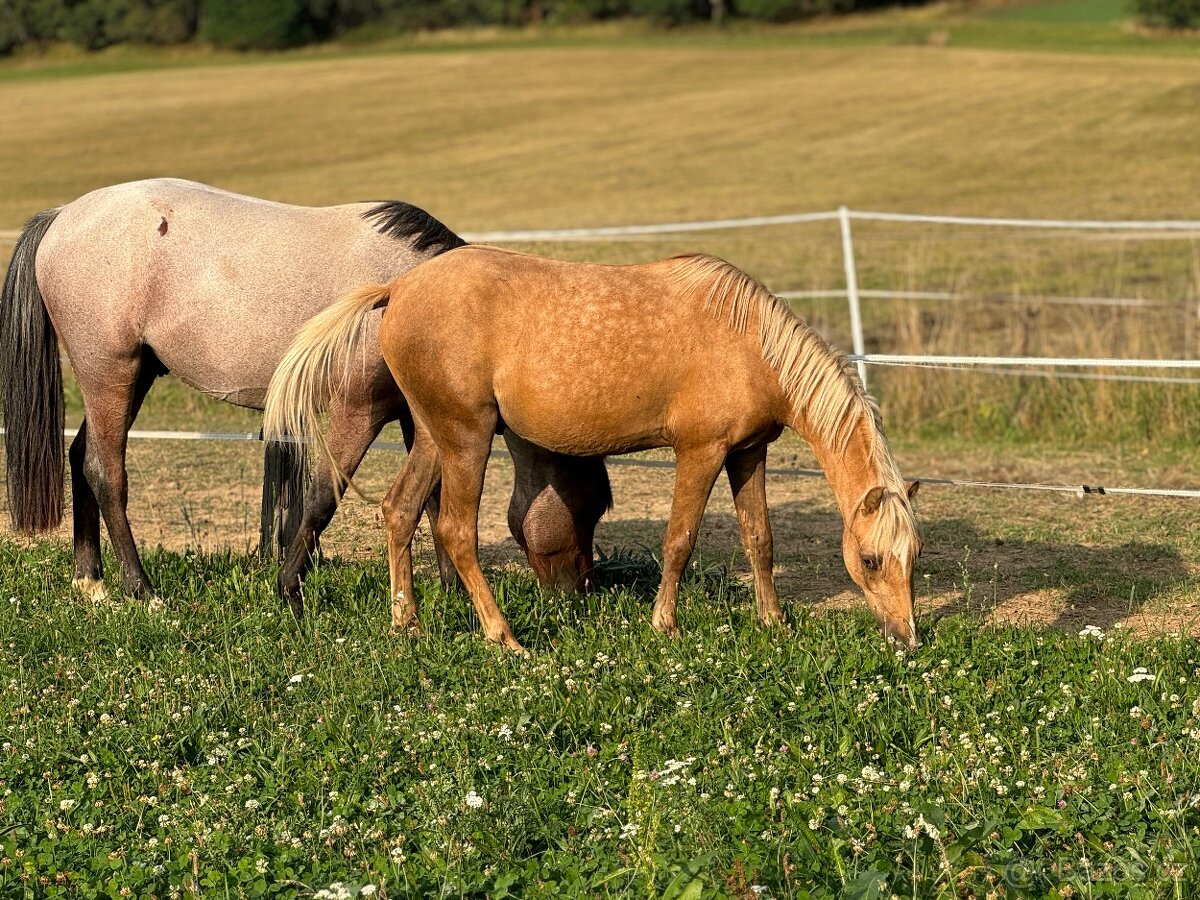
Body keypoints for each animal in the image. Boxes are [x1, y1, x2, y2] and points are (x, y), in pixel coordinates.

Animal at [2, 177, 609, 614]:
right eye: (594, 502)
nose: (582, 593)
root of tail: (62, 217)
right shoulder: (357, 409)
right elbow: (321, 497)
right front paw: (289, 592)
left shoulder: (423, 418)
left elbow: (433, 503)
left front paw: (452, 593)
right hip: (111, 374)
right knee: (107, 473)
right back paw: (141, 589)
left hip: (128, 379)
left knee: (81, 457)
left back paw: (90, 581)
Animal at [262, 250, 921, 652]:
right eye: (870, 561)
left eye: (912, 556)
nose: (907, 637)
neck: (749, 341)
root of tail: (397, 288)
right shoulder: (700, 453)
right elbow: (679, 541)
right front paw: (665, 626)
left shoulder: (747, 454)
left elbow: (760, 539)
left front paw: (774, 623)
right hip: (466, 439)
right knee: (453, 530)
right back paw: (504, 638)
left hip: (431, 435)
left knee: (398, 512)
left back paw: (409, 624)